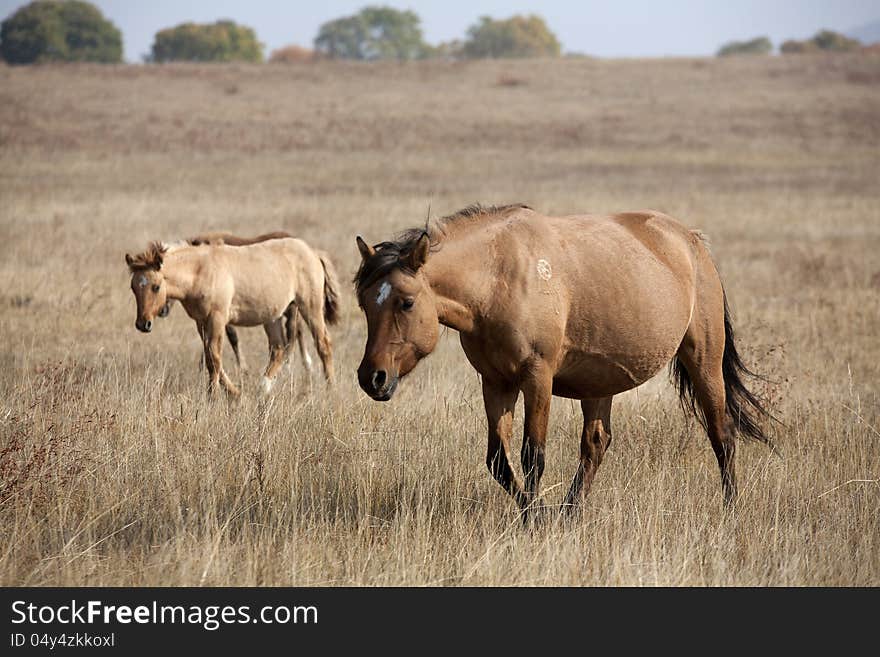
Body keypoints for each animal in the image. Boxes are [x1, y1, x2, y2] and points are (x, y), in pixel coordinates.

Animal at [127, 238, 340, 398]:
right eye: (133, 287)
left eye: (156, 286)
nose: (143, 324)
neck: (200, 271)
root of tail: (313, 252)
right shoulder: (201, 322)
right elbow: (211, 357)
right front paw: (235, 394)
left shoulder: (217, 318)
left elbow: (214, 357)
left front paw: (213, 398)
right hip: (273, 316)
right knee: (278, 349)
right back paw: (263, 389)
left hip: (310, 308)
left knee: (324, 345)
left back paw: (330, 390)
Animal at [354, 202, 772, 516]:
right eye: (365, 304)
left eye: (406, 302)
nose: (372, 377)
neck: (498, 278)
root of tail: (691, 241)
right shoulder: (496, 382)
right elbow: (498, 461)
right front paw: (538, 513)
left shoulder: (537, 377)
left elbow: (532, 456)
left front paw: (535, 519)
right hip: (600, 383)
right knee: (596, 444)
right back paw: (570, 513)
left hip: (704, 361)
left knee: (722, 435)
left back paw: (731, 508)